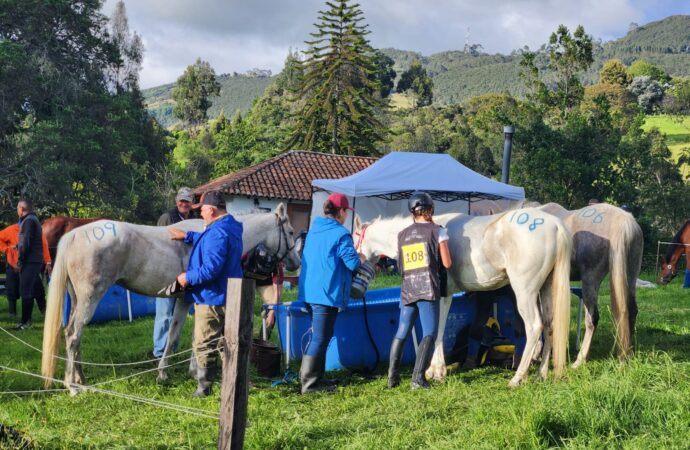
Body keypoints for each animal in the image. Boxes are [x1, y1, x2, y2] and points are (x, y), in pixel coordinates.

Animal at [40, 204, 298, 394]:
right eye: (291, 232)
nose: (295, 264)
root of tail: (74, 234)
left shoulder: (186, 301)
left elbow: (182, 335)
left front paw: (174, 372)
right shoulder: (190, 301)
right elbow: (186, 337)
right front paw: (182, 373)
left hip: (77, 299)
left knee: (74, 335)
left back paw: (81, 379)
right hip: (90, 299)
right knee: (73, 335)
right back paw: (72, 386)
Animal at [354, 207, 568, 386]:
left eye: (353, 238)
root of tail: (554, 224)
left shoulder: (442, 295)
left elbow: (438, 329)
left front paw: (436, 371)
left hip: (525, 292)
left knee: (534, 327)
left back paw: (518, 377)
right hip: (546, 289)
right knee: (549, 325)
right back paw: (541, 374)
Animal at [536, 202, 640, 368]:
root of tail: (623, 221)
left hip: (590, 282)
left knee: (592, 318)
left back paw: (580, 360)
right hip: (630, 277)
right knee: (631, 311)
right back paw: (627, 354)